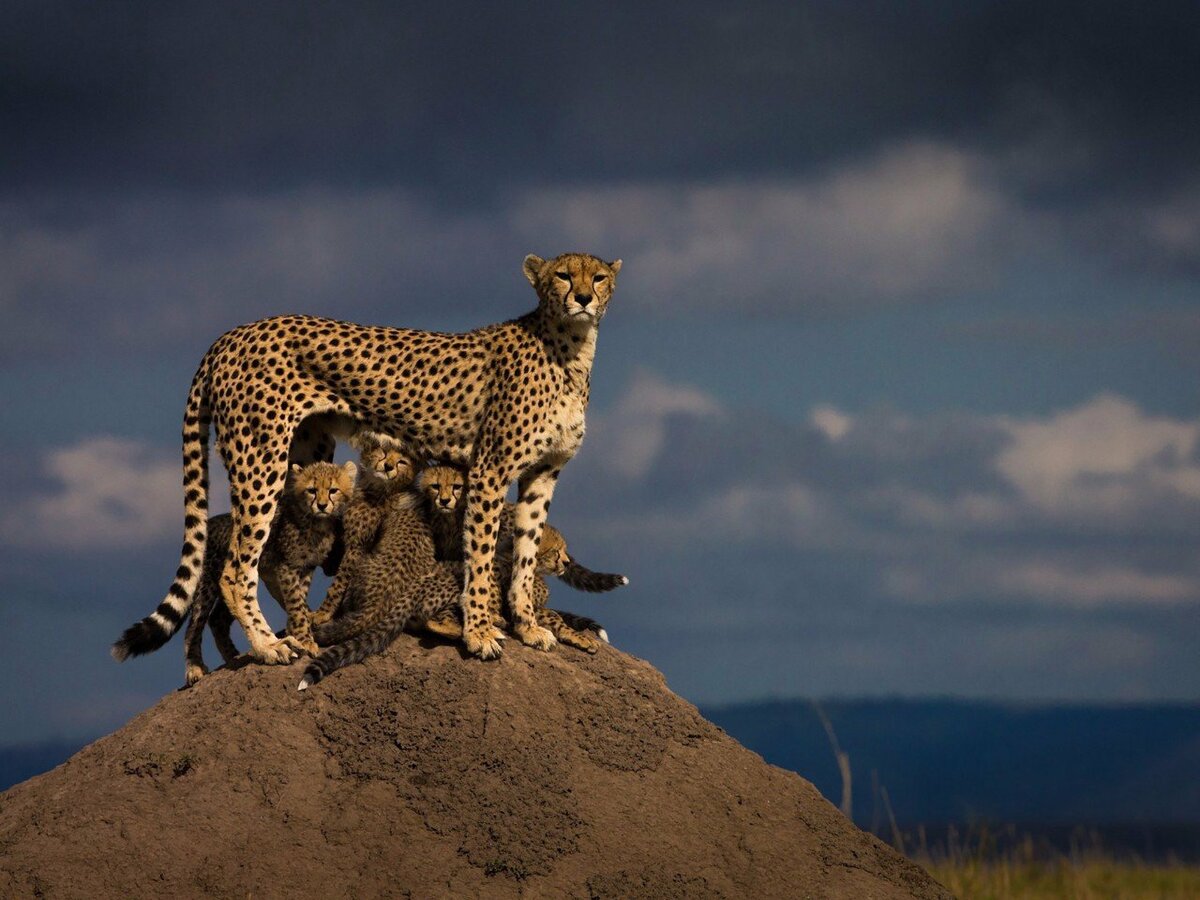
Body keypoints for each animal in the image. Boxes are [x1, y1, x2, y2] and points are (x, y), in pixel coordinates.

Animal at [156, 250, 624, 667]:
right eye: (563, 275)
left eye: (599, 277)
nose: (583, 298)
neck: (571, 348)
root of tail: (232, 333)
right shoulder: (489, 469)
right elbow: (481, 555)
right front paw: (479, 633)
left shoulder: (542, 474)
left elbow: (526, 554)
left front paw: (527, 626)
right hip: (259, 458)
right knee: (236, 569)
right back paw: (270, 646)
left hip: (306, 456)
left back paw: (303, 634)